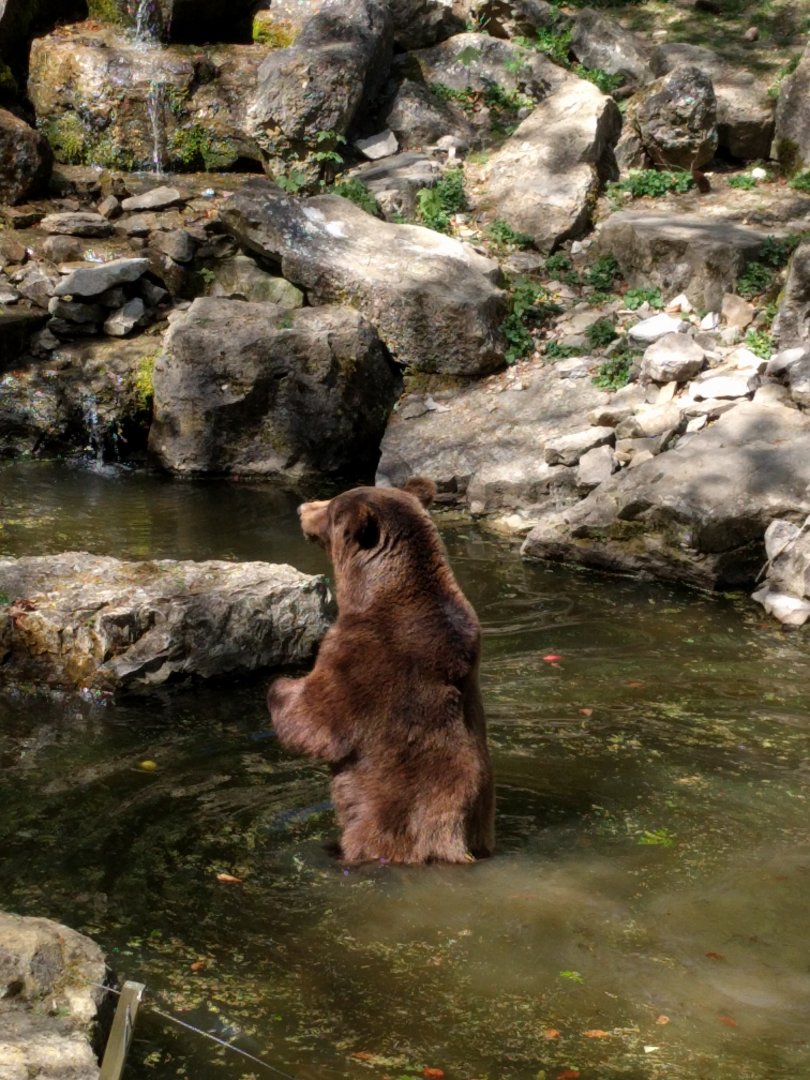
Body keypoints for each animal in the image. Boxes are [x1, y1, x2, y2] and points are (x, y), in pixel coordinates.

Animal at [266, 477, 494, 864]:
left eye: (331, 508)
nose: (302, 508)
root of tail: (452, 844)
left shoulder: (360, 655)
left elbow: (315, 723)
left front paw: (280, 687)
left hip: (383, 822)